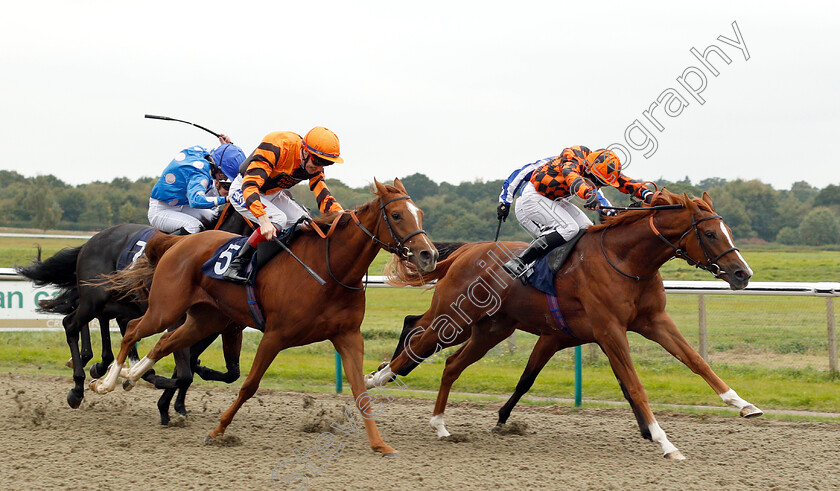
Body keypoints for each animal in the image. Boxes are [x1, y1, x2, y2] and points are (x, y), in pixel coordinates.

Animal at [16, 204, 251, 422]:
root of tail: (94, 239)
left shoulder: (213, 327)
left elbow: (223, 372)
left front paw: (177, 400)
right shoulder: (177, 321)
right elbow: (184, 373)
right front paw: (151, 391)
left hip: (117, 301)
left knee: (97, 320)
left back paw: (97, 364)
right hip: (96, 296)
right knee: (71, 323)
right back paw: (79, 386)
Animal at [90, 180, 434, 458]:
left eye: (420, 214)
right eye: (397, 215)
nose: (428, 255)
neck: (328, 270)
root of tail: (178, 242)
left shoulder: (347, 336)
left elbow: (360, 392)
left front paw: (380, 445)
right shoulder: (275, 335)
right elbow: (249, 386)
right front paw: (218, 430)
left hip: (206, 320)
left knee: (163, 342)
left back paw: (132, 376)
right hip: (166, 307)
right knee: (134, 330)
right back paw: (106, 381)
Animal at [368, 191, 756, 462]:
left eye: (726, 230)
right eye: (710, 233)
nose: (743, 273)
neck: (626, 260)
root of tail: (465, 252)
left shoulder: (653, 321)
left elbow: (696, 361)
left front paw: (742, 403)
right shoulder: (609, 330)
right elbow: (634, 385)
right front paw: (664, 441)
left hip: (490, 330)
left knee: (448, 363)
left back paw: (439, 424)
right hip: (456, 317)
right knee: (416, 340)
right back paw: (376, 379)